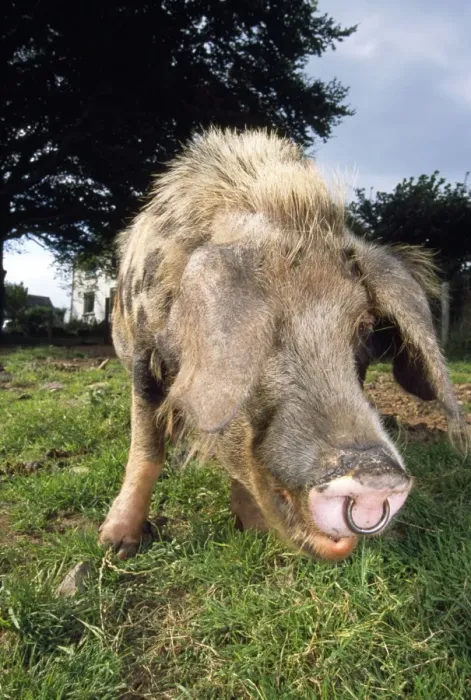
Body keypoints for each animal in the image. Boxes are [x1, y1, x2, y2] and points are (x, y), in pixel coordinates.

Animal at [99, 127, 468, 561]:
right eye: (259, 329)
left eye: (361, 329)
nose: (376, 473)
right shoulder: (144, 353)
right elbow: (146, 449)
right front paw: (116, 545)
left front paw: (254, 530)